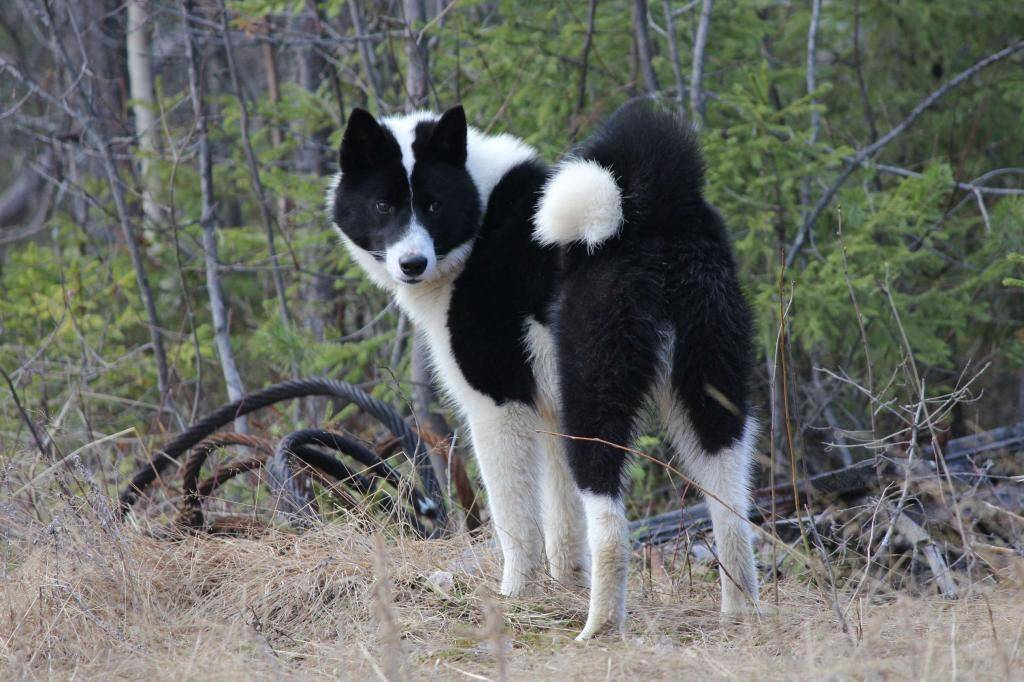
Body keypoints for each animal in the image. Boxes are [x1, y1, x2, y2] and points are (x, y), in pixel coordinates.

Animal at [327, 100, 761, 638]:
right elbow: (563, 525)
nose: (412, 263)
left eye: (433, 206)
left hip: (592, 401)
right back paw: (739, 616)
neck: (479, 220)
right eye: (384, 206)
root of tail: (648, 212)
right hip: (709, 392)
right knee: (731, 507)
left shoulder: (498, 407)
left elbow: (519, 524)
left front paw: (515, 598)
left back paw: (598, 628)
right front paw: (564, 588)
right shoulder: (551, 415)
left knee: (611, 529)